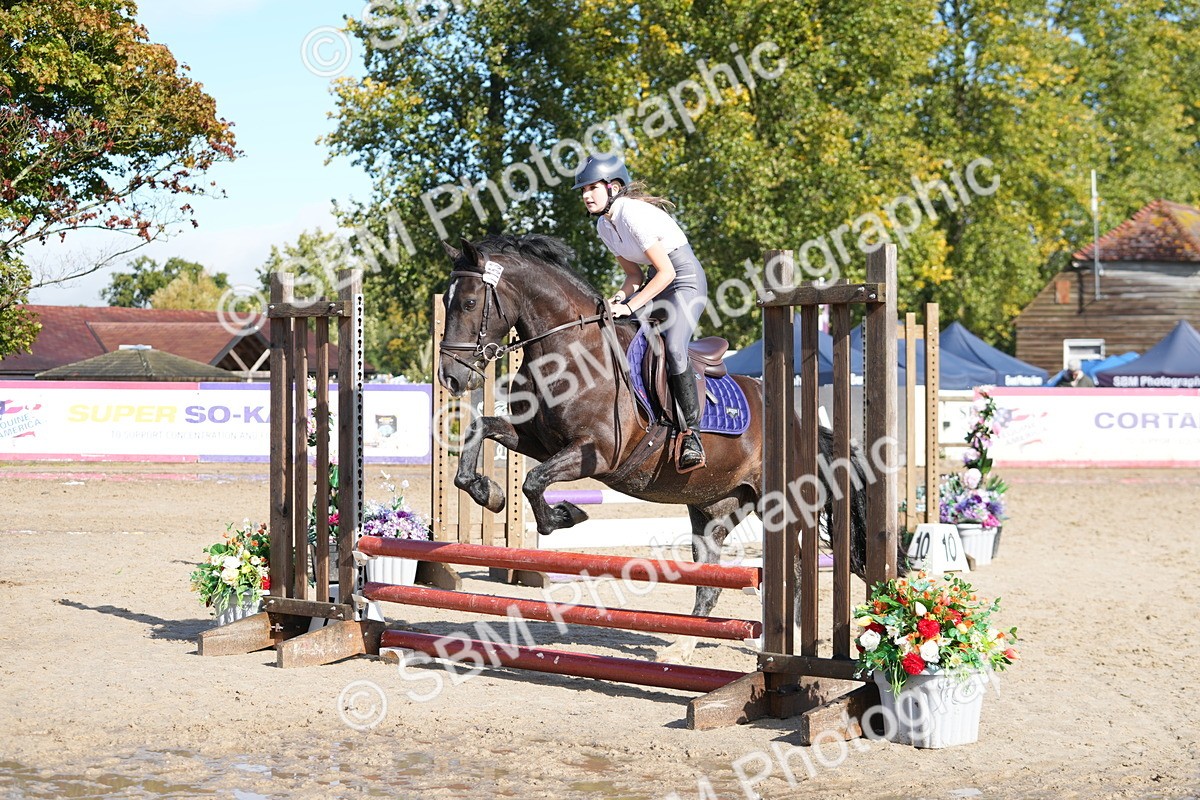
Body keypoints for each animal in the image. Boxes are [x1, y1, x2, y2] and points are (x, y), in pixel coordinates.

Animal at [437, 233, 876, 659]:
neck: (571, 350)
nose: (450, 378)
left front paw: (566, 514)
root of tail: (802, 424)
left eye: (470, 302)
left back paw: (787, 643)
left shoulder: (596, 454)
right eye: (445, 301)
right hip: (714, 508)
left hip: (782, 507)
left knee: (796, 569)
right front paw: (489, 492)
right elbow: (480, 433)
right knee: (711, 576)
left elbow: (532, 483)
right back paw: (685, 645)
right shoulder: (537, 440)